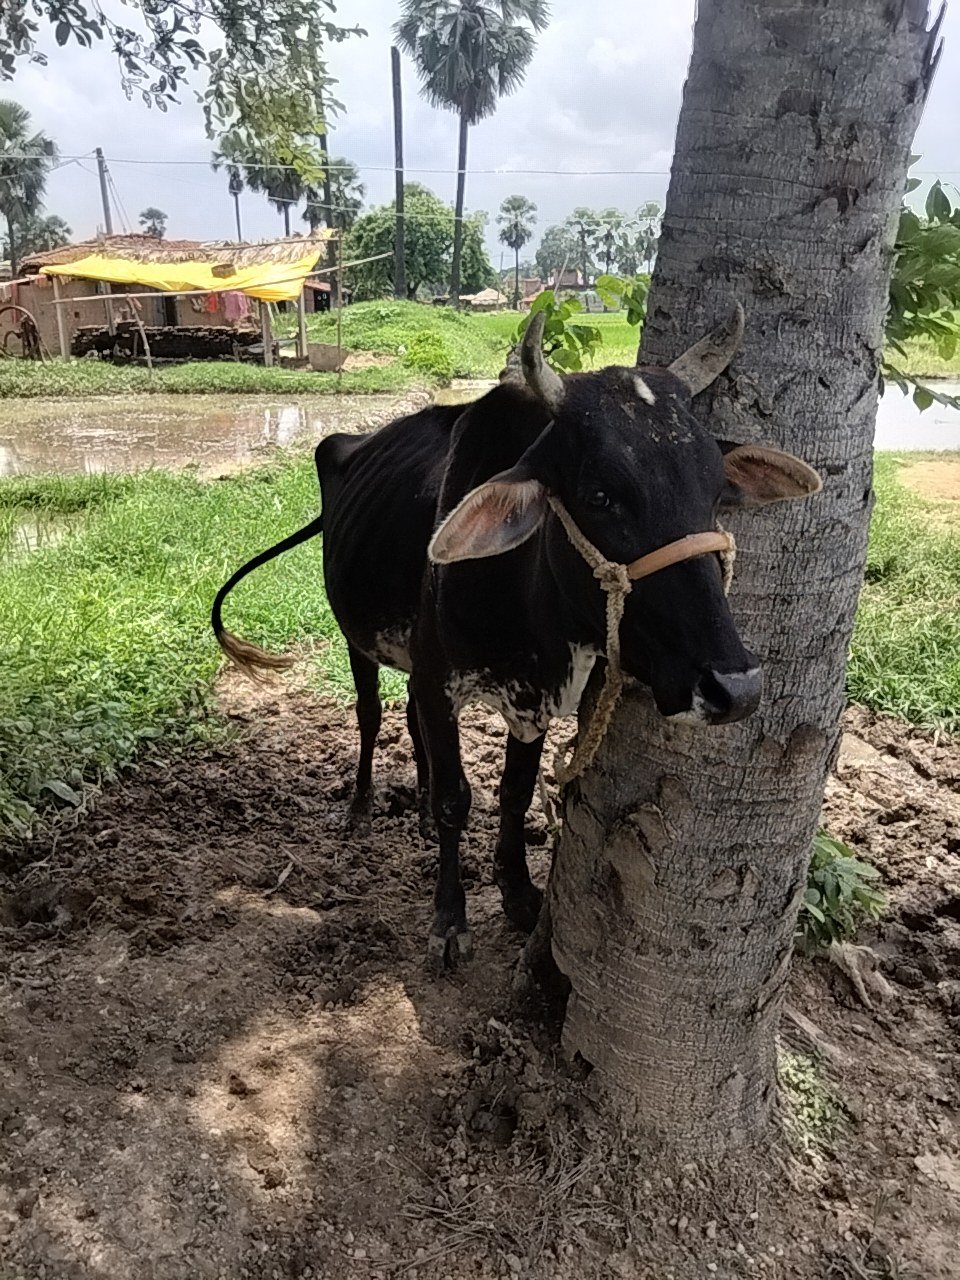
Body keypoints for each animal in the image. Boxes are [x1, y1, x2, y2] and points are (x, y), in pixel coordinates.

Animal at [212, 309, 822, 968]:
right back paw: (360, 807)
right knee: (371, 715)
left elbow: (515, 792)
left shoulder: (533, 700)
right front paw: (450, 918)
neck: (531, 614)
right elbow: (458, 799)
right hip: (358, 639)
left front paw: (518, 890)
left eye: (714, 493)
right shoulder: (442, 682)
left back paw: (416, 811)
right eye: (601, 495)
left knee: (408, 720)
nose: (735, 686)